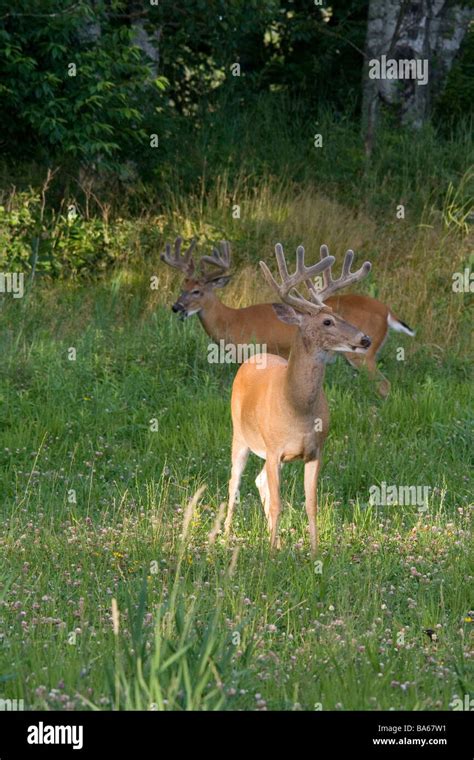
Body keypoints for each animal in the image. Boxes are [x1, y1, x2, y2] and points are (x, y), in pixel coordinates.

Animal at [160, 236, 414, 398]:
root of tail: (387, 310)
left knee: (384, 384)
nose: (176, 307)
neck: (231, 321)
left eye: (197, 291)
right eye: (182, 286)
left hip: (363, 355)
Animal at [223, 240, 374, 556]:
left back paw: (277, 541)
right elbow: (278, 504)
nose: (364, 339)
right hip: (240, 434)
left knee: (259, 482)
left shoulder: (315, 450)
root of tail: (254, 357)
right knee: (235, 482)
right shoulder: (273, 447)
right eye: (327, 321)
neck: (296, 408)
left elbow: (311, 505)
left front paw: (314, 552)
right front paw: (269, 555)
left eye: (342, 316)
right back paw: (225, 535)